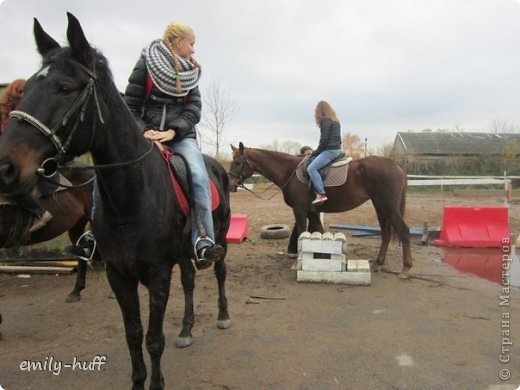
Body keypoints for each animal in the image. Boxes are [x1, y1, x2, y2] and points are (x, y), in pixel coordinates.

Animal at [230, 142, 412, 278]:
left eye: (238, 162)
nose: (231, 184)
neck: (290, 171)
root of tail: (395, 164)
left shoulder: (300, 210)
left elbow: (302, 232)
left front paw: (298, 263)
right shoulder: (312, 212)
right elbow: (320, 231)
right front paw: (323, 256)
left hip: (388, 206)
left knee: (403, 230)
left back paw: (406, 269)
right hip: (380, 206)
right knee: (386, 233)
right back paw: (378, 264)